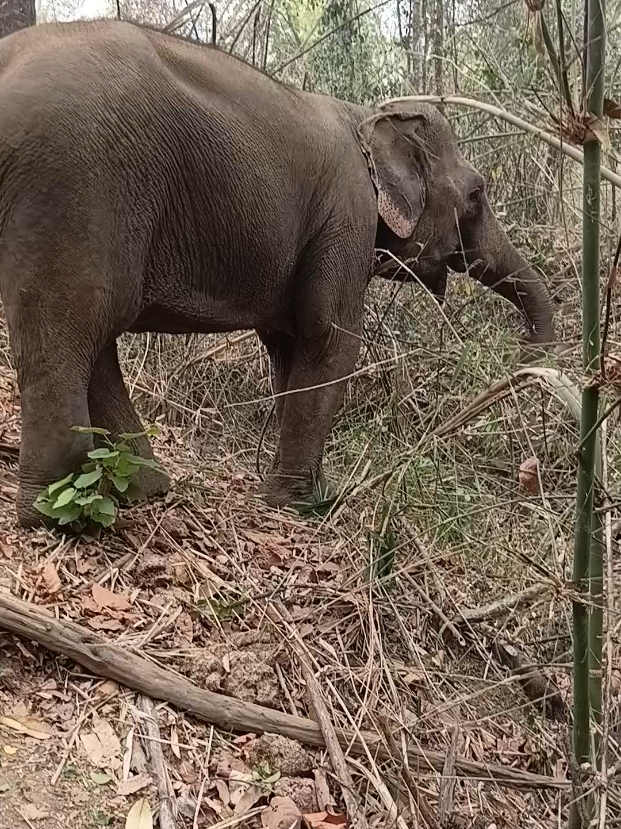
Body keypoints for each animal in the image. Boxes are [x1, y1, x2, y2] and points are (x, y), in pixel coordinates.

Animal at [0, 20, 555, 527]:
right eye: (477, 194)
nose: (525, 358)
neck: (366, 114)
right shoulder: (346, 212)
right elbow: (330, 337)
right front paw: (304, 505)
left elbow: (290, 344)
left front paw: (296, 492)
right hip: (74, 183)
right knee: (73, 324)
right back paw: (56, 512)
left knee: (92, 335)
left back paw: (147, 489)